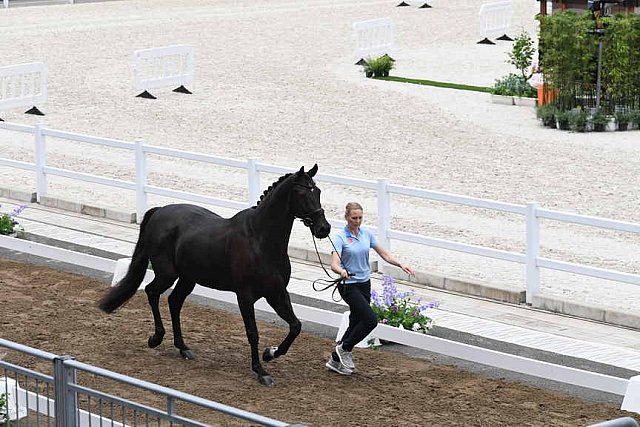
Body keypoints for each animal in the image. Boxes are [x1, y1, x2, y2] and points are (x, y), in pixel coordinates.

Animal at [99, 164, 336, 384]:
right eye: (302, 193)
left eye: (318, 191)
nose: (324, 228)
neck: (260, 240)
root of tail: (159, 211)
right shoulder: (245, 296)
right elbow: (253, 332)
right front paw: (261, 371)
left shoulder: (276, 293)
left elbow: (295, 326)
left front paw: (269, 354)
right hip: (167, 274)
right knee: (151, 292)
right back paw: (156, 338)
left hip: (188, 278)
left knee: (174, 302)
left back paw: (183, 348)